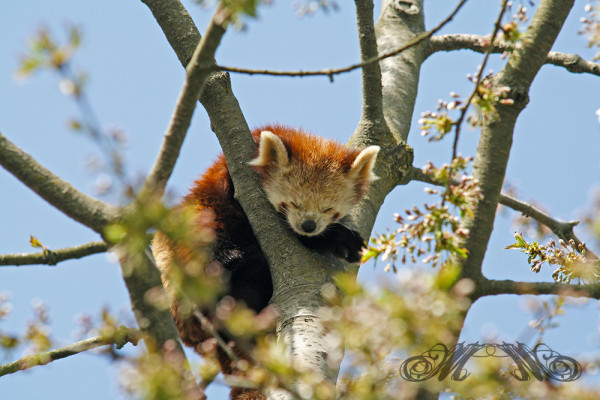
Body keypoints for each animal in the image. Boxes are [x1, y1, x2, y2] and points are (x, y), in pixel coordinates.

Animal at [154, 124, 380, 396]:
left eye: (328, 209)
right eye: (293, 203)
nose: (309, 225)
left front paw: (340, 241)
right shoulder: (224, 183)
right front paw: (334, 239)